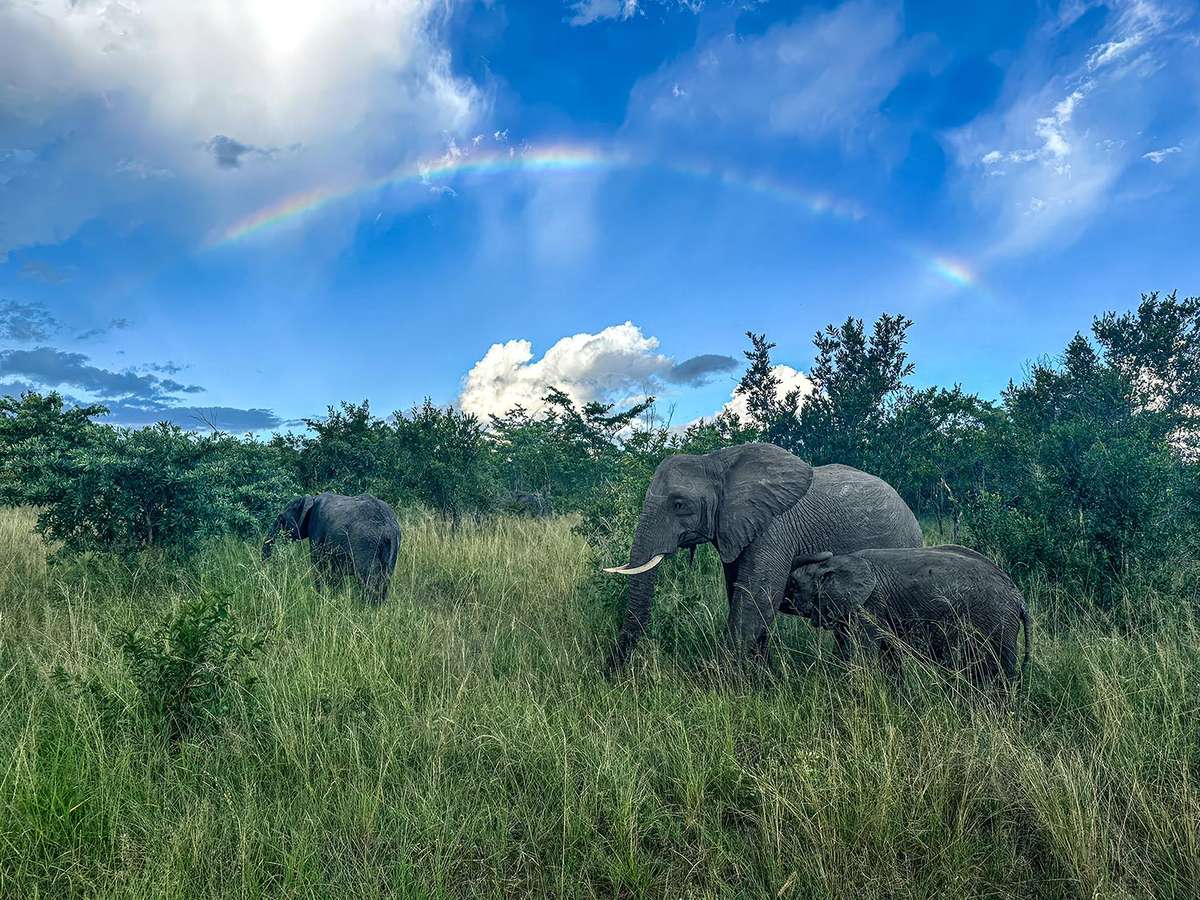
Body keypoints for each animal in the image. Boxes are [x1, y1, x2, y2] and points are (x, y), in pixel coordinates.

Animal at [262, 492, 401, 605]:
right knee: (385, 578)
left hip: (365, 544)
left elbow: (318, 565)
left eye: (280, 518)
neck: (311, 499)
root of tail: (388, 528)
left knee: (369, 579)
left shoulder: (317, 530)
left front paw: (319, 597)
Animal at [602, 442, 923, 670]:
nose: (612, 672)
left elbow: (755, 599)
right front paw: (762, 679)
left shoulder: (774, 527)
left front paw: (723, 686)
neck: (716, 461)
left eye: (679, 505)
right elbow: (741, 594)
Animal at [785, 545, 1032, 688]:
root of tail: (1020, 598)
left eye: (794, 583)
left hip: (998, 623)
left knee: (999, 671)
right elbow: (888, 654)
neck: (841, 562)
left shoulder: (870, 605)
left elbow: (862, 654)